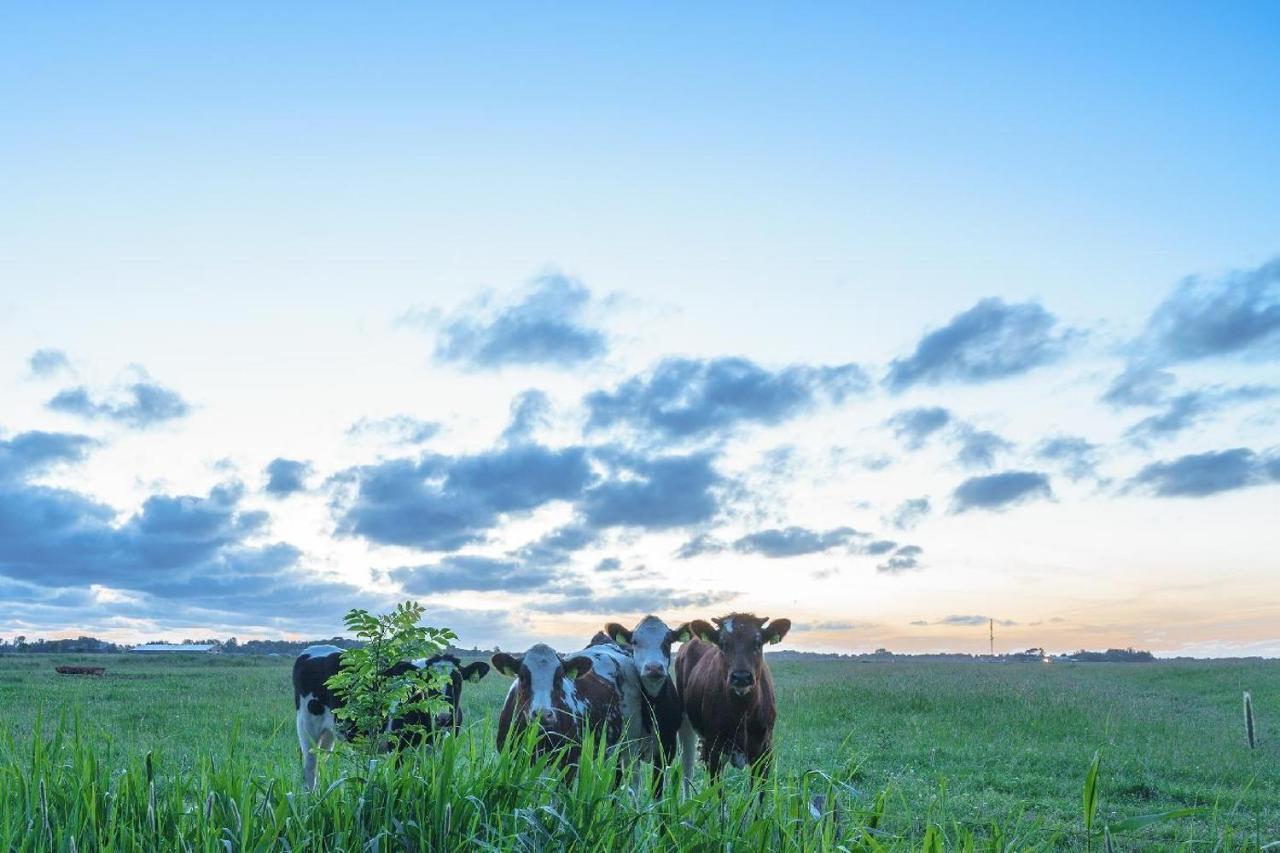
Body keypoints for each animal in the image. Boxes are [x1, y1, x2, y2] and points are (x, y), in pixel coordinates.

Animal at [670, 612, 788, 783]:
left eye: (758, 643)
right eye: (723, 644)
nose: (741, 677)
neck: (743, 710)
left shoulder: (765, 753)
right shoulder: (715, 751)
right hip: (686, 723)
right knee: (687, 765)